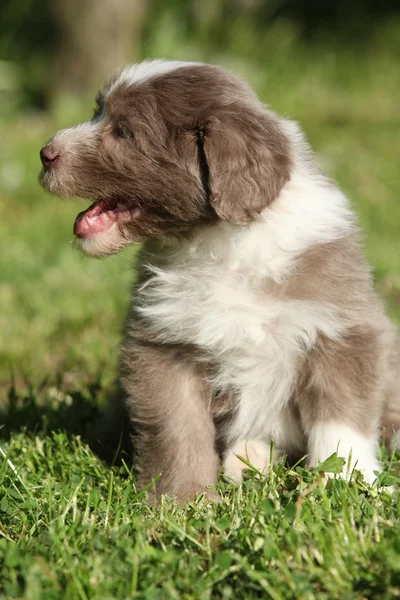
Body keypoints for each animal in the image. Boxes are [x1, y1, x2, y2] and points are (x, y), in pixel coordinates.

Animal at [39, 59, 400, 502]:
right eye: (97, 112)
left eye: (124, 131)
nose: (45, 153)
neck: (220, 246)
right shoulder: (164, 343)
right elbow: (177, 427)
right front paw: (183, 500)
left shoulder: (341, 327)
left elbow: (341, 419)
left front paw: (346, 484)